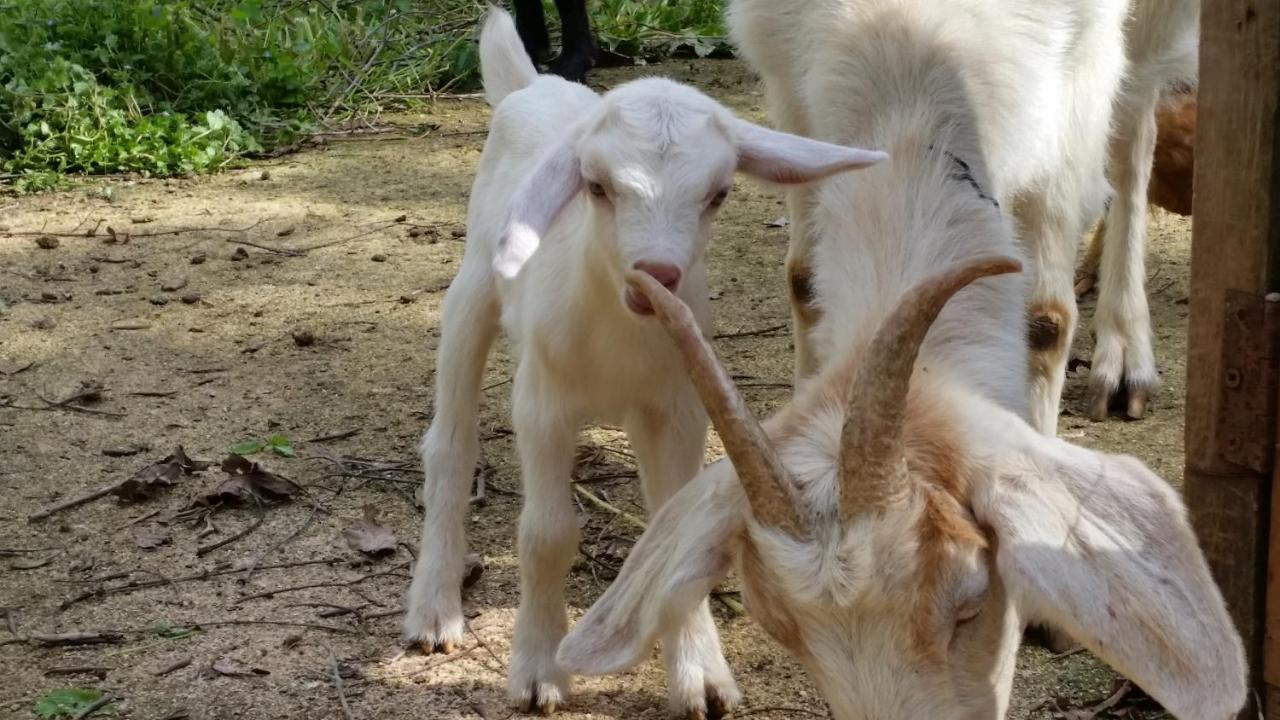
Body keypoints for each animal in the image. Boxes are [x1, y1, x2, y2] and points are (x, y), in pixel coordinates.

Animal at [555, 1, 1244, 717]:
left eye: (969, 598)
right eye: (774, 622)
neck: (914, 47)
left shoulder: (1075, 84)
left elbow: (1046, 319)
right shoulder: (790, 83)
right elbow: (804, 279)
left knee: (1134, 132)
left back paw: (1124, 351)